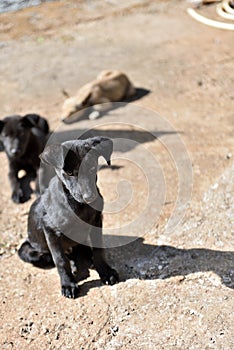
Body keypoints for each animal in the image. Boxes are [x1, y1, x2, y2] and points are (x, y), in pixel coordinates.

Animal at [18, 137, 119, 298]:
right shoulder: (50, 230)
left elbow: (99, 250)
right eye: (70, 173)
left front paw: (105, 271)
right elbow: (60, 259)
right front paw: (68, 284)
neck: (78, 206)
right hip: (26, 250)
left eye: (92, 168)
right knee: (53, 256)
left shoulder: (97, 221)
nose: (89, 197)